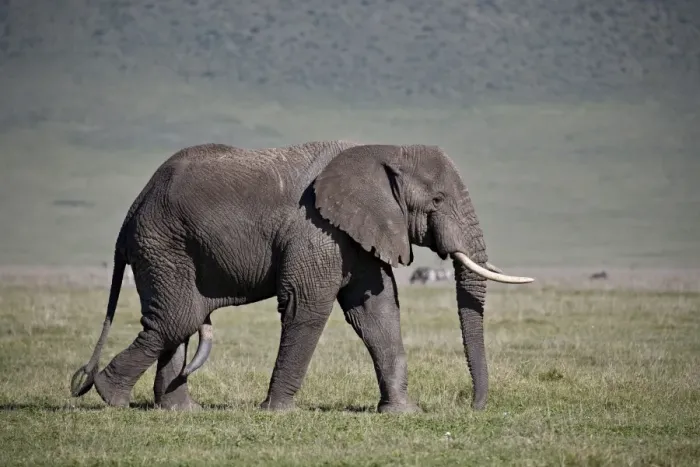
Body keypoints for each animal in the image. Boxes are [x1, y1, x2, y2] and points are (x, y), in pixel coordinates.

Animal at [69, 140, 533, 413]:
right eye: (437, 200)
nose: (474, 408)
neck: (380, 150)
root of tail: (132, 211)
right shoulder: (316, 227)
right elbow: (307, 306)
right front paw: (278, 413)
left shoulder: (353, 230)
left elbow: (377, 310)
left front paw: (402, 413)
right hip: (163, 243)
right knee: (175, 319)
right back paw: (111, 398)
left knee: (179, 322)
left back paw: (180, 411)